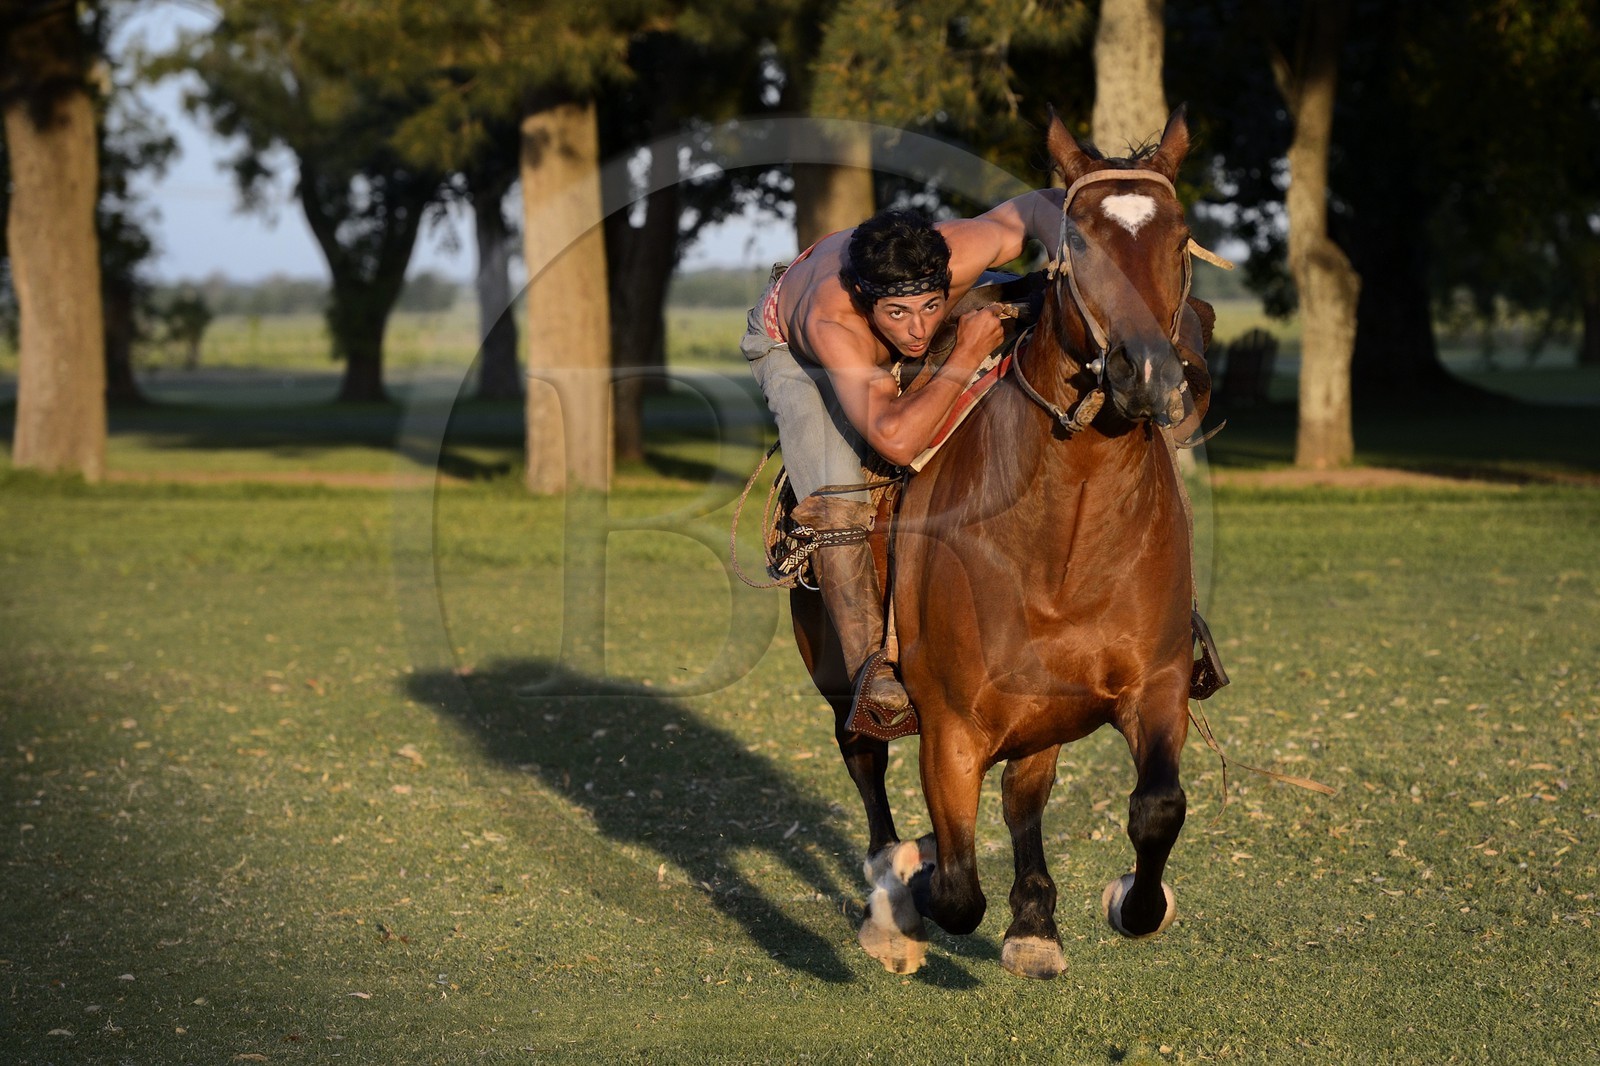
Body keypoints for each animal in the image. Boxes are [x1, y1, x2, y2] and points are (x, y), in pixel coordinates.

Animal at [790, 107, 1215, 979]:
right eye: (1077, 238)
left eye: (1181, 235)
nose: (1148, 373)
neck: (1065, 544)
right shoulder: (950, 726)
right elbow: (955, 887)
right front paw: (911, 888)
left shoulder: (1154, 688)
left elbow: (1156, 808)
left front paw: (1125, 903)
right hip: (838, 674)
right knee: (864, 757)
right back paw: (890, 893)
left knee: (1024, 793)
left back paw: (1032, 923)